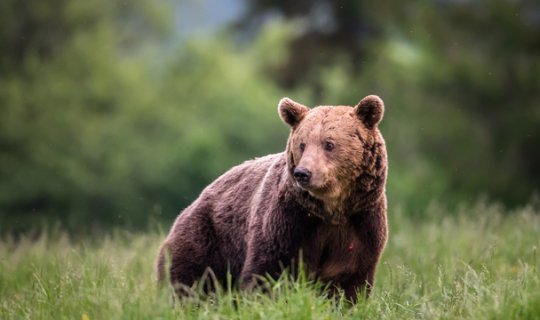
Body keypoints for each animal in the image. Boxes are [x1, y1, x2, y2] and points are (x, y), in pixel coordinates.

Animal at [156, 94, 388, 302]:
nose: (303, 173)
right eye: (302, 144)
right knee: (188, 282)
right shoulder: (287, 222)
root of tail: (191, 205)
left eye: (328, 144)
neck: (330, 209)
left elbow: (348, 282)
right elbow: (267, 272)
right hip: (206, 239)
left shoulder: (360, 225)